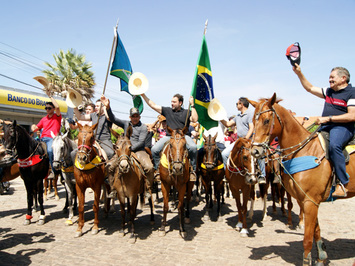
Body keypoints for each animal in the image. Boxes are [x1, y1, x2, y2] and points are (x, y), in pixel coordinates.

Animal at [250, 93, 355, 264]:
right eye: (253, 120)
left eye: (266, 120)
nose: (255, 151)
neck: (304, 151)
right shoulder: (307, 200)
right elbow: (316, 231)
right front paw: (321, 257)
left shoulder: (310, 201)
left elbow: (307, 239)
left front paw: (308, 260)